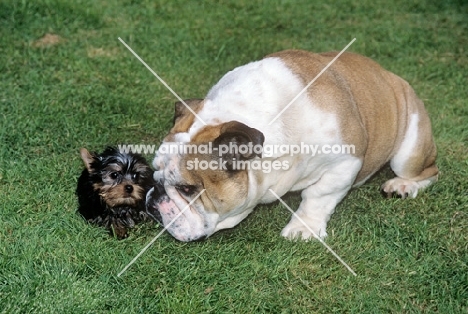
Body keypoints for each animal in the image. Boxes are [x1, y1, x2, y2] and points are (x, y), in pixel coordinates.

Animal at [147, 49, 438, 242]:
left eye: (187, 189)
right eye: (154, 173)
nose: (154, 194)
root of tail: (390, 76)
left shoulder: (346, 162)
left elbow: (318, 195)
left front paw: (303, 228)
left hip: (408, 151)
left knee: (429, 171)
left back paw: (403, 185)